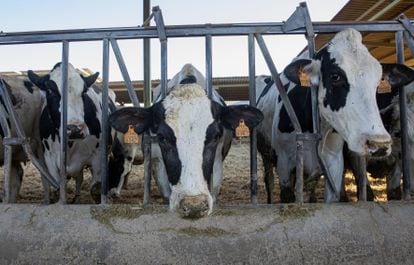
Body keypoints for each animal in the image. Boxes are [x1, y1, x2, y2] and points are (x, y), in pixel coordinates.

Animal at [27, 62, 113, 202]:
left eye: (84, 92)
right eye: (50, 91)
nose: (75, 129)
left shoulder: (98, 155)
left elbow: (95, 190)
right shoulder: (50, 158)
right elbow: (57, 190)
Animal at [258, 28, 392, 202]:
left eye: (378, 80)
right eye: (335, 76)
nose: (380, 144)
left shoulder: (334, 164)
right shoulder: (284, 165)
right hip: (266, 154)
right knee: (269, 180)